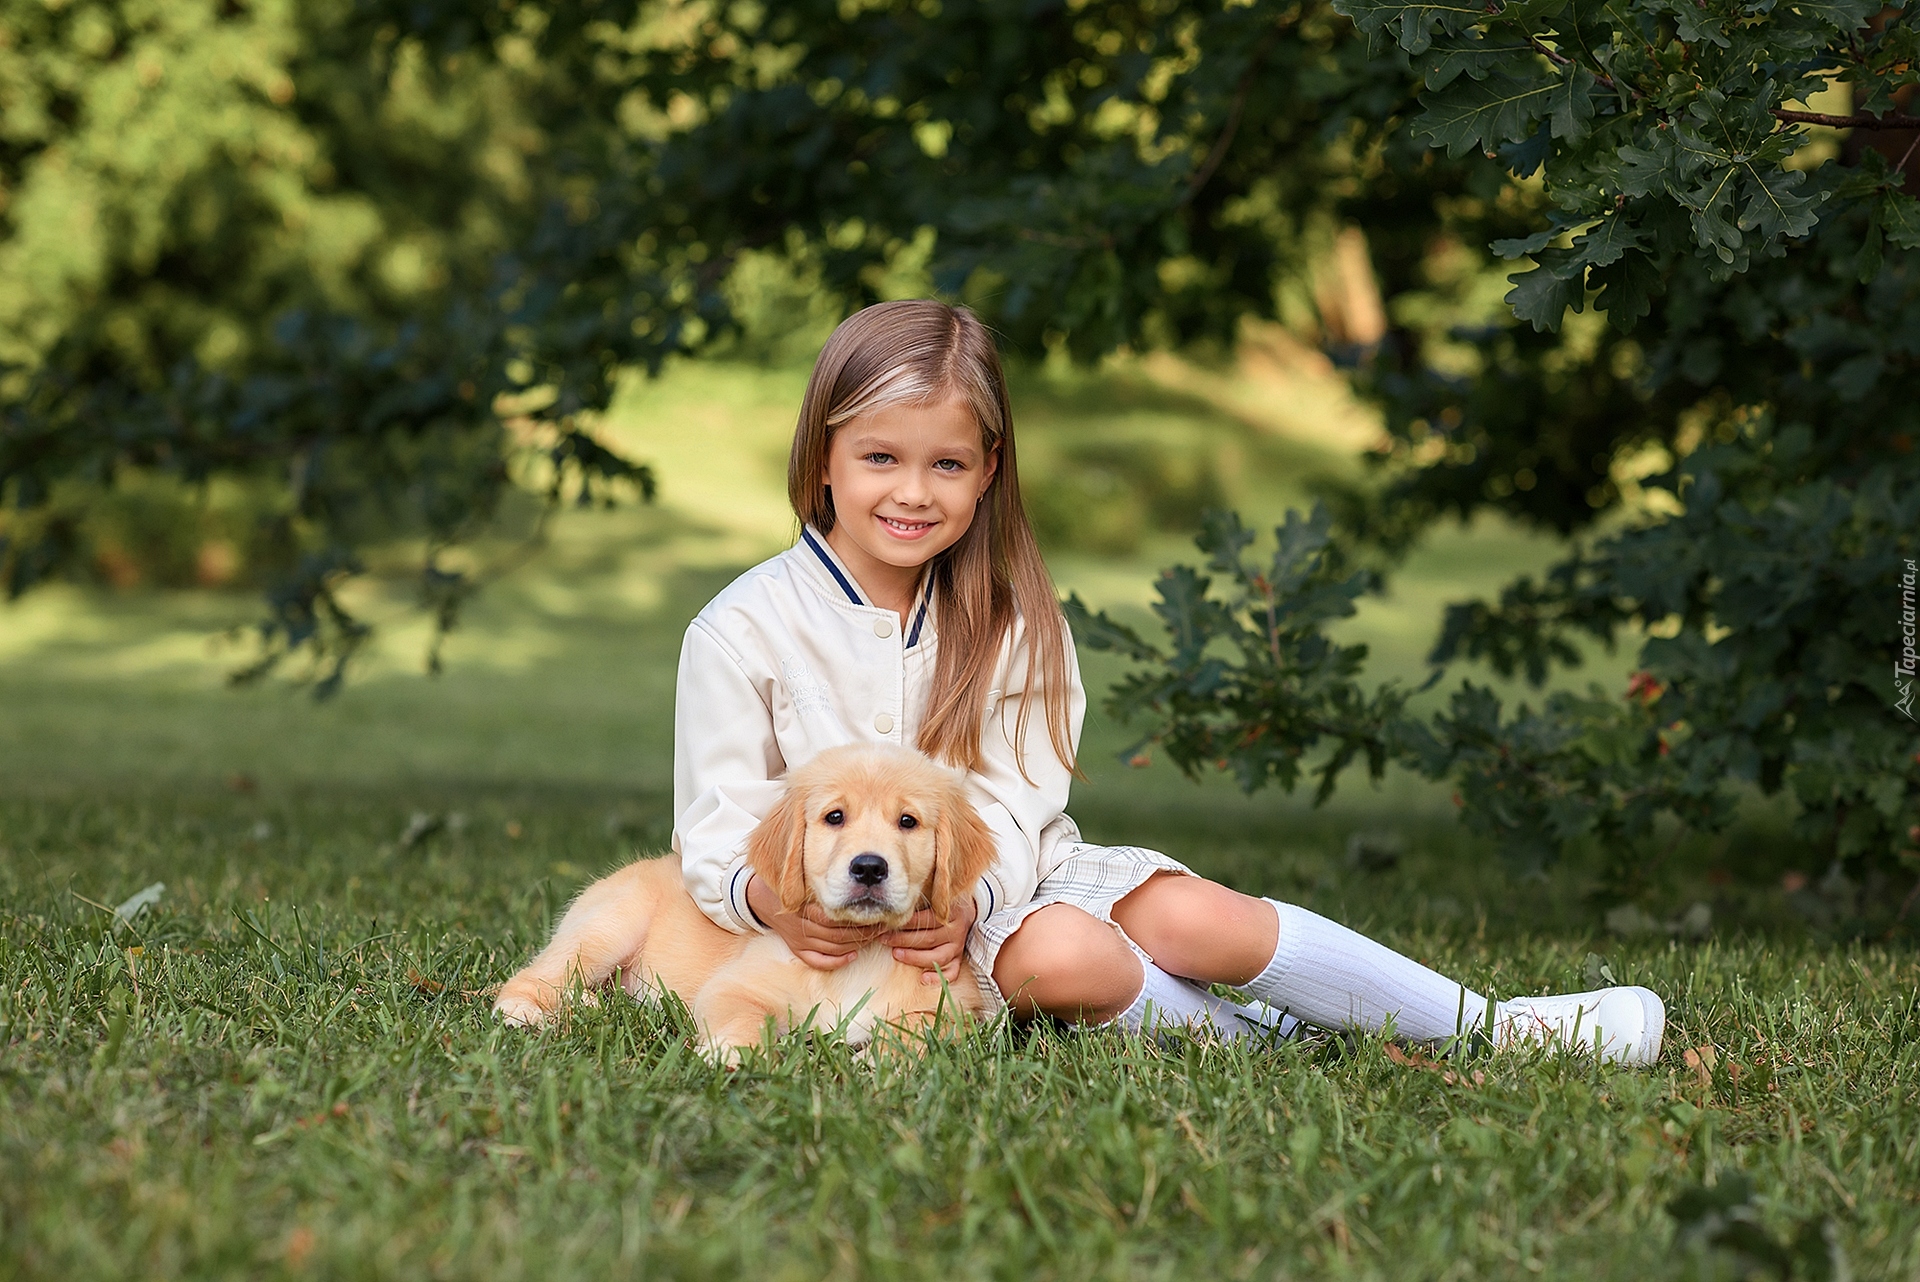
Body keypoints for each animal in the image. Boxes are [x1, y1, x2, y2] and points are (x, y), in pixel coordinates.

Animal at [487, 740, 998, 1059]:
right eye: (834, 817)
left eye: (908, 822)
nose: (870, 868)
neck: (863, 949)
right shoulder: (735, 987)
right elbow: (745, 1017)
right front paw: (731, 1053)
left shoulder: (956, 1010)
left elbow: (920, 1033)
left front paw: (881, 1063)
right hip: (606, 930)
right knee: (531, 979)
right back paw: (539, 1011)